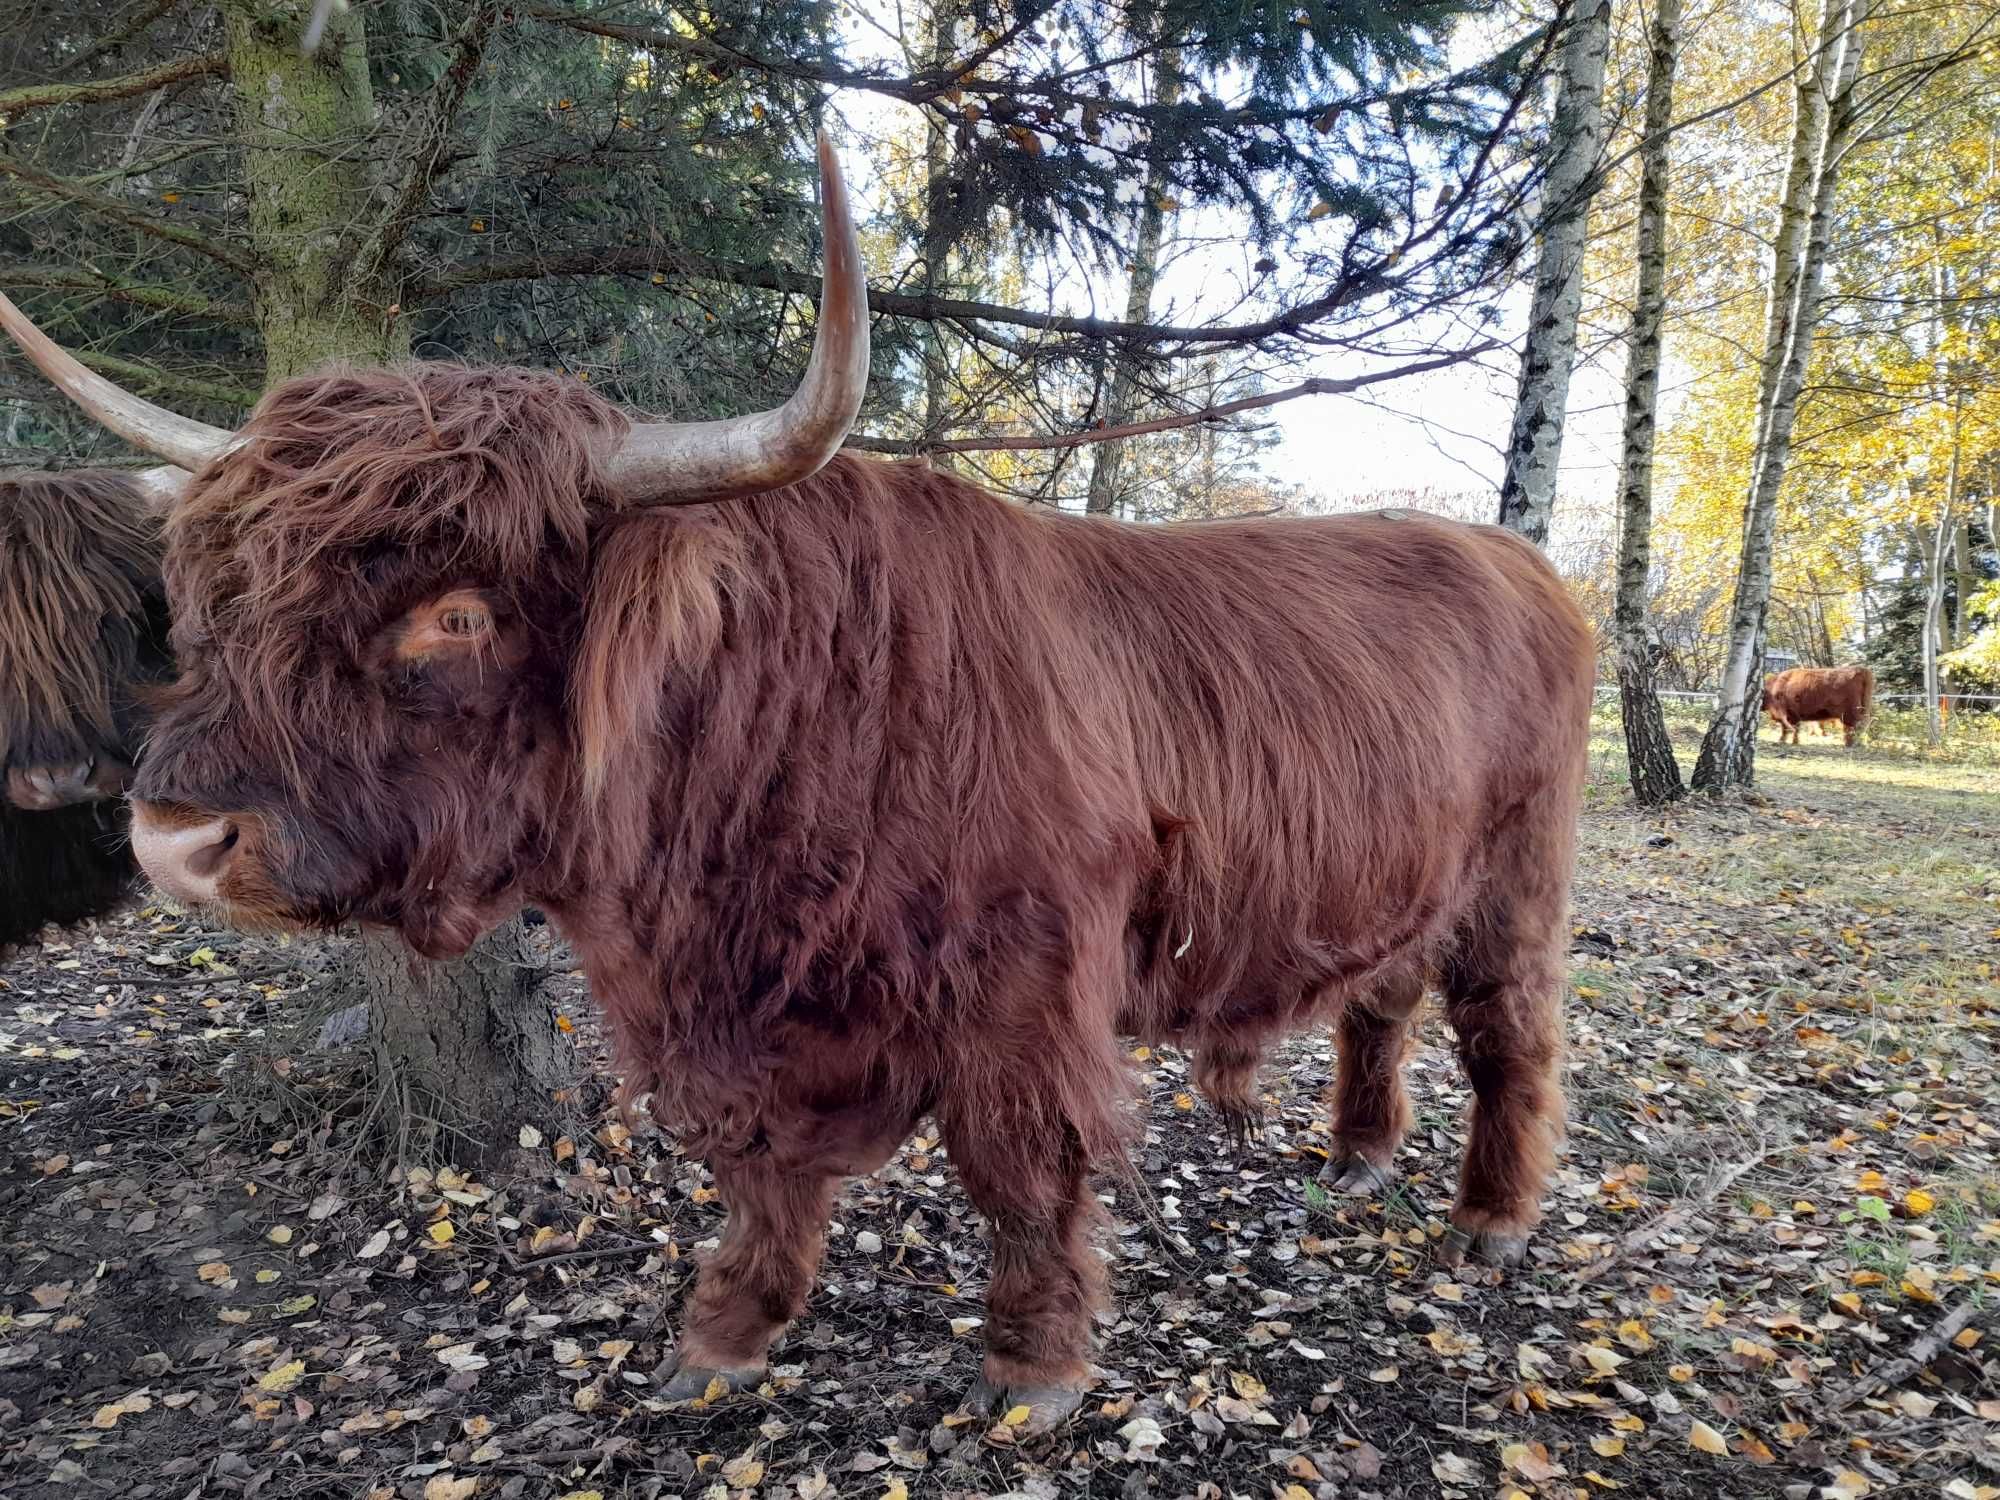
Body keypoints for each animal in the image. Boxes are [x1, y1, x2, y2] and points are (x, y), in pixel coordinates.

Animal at [0, 138, 1592, 1432]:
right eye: (222, 592)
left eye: (452, 613)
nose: (176, 835)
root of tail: (1510, 556)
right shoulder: (729, 1015)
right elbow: (758, 1174)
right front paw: (725, 1335)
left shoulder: (1024, 998)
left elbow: (1022, 1174)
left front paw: (1033, 1370)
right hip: (1400, 867)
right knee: (1381, 998)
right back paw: (1362, 1159)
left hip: (1518, 871)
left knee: (1508, 1032)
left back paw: (1492, 1223)